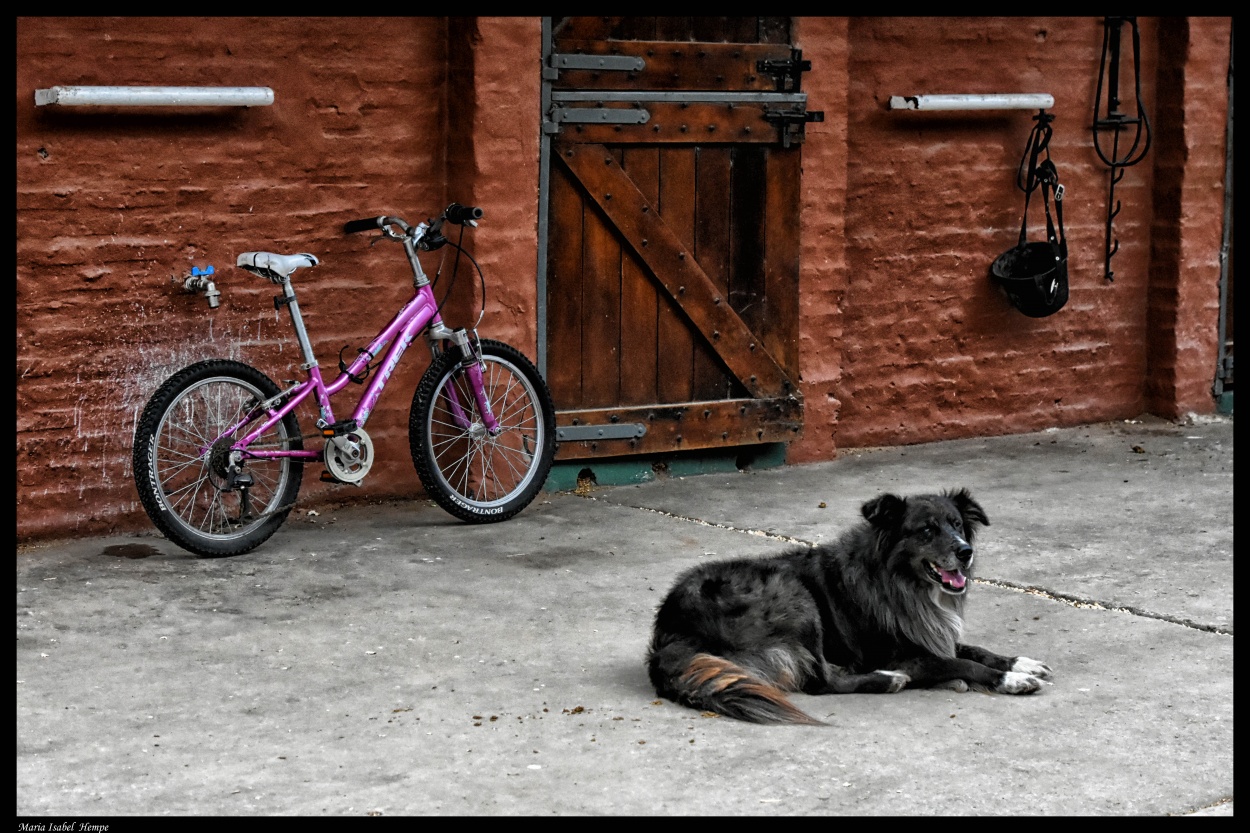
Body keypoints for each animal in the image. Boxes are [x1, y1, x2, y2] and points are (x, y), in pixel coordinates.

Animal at [650, 487, 1050, 720]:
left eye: (956, 524)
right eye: (926, 530)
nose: (966, 552)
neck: (901, 583)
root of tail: (669, 631)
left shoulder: (930, 633)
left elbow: (974, 649)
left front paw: (1020, 662)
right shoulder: (905, 655)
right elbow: (964, 663)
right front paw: (1010, 679)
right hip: (797, 597)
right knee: (819, 682)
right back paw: (886, 681)